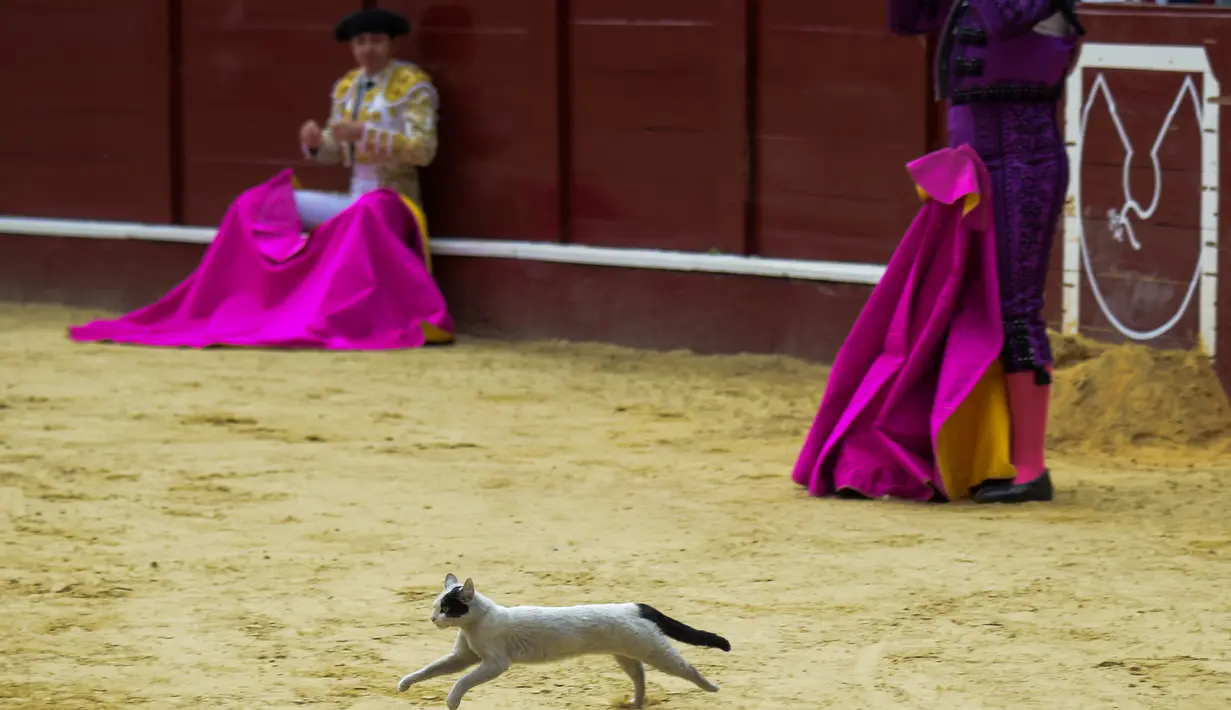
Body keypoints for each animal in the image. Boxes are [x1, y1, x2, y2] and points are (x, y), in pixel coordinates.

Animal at [396, 573, 728, 703]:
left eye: (446, 608)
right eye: (435, 607)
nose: (433, 619)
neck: (475, 625)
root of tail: (634, 605)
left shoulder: (494, 663)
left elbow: (462, 682)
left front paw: (452, 701)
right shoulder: (463, 657)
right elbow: (429, 669)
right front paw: (405, 684)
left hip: (656, 653)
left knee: (687, 669)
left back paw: (711, 688)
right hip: (628, 657)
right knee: (640, 678)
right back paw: (634, 704)